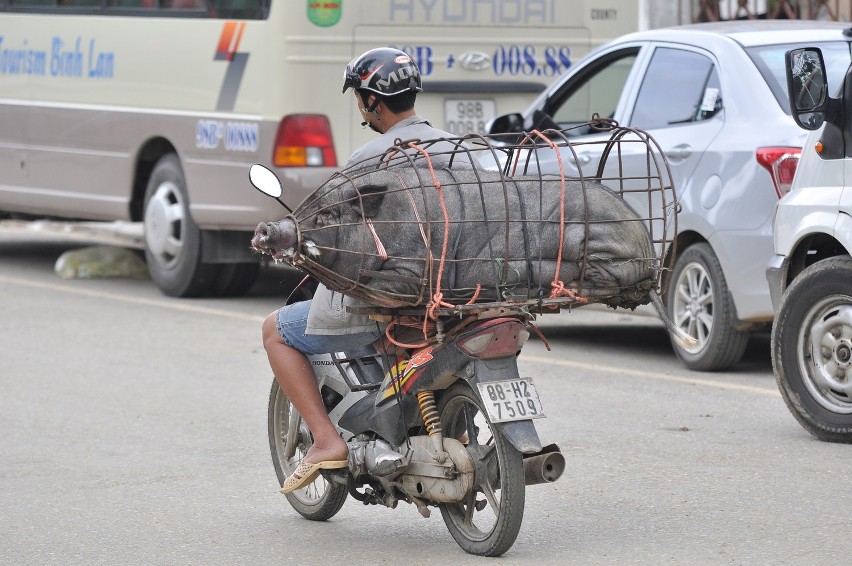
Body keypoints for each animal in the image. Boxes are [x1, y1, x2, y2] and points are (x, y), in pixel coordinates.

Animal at [250, 164, 656, 310]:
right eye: (303, 206)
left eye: (326, 216)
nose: (265, 228)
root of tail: (650, 251)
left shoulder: (414, 268)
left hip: (592, 241)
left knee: (601, 279)